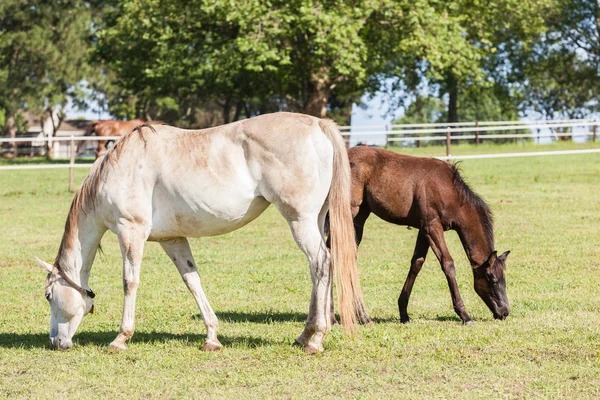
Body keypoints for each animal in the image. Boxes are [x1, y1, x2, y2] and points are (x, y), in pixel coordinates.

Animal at [36, 111, 366, 354]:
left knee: (321, 263)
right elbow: (192, 281)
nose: (55, 342)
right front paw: (212, 337)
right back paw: (305, 334)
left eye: (49, 295)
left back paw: (316, 338)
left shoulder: (131, 232)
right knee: (318, 269)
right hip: (315, 219)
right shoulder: (172, 240)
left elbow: (130, 282)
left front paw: (120, 338)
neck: (120, 168)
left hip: (300, 220)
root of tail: (318, 125)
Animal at [346, 147, 510, 324]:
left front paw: (403, 312)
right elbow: (448, 264)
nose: (504, 312)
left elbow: (417, 262)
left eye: (503, 279)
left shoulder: (423, 229)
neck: (450, 191)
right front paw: (464, 315)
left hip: (360, 216)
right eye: (491, 278)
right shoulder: (432, 226)